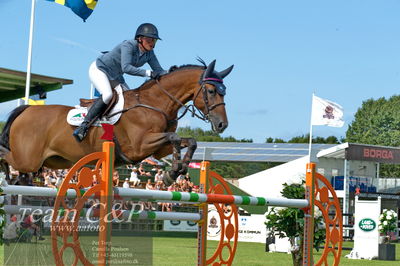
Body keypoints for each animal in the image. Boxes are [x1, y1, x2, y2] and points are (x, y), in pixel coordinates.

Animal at [0, 59, 233, 185]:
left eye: (224, 91)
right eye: (211, 91)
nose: (222, 125)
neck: (155, 103)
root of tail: (27, 109)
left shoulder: (159, 150)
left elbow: (189, 141)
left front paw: (176, 171)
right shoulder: (139, 147)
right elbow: (174, 137)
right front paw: (173, 172)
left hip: (54, 160)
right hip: (28, 158)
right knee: (6, 156)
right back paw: (8, 175)